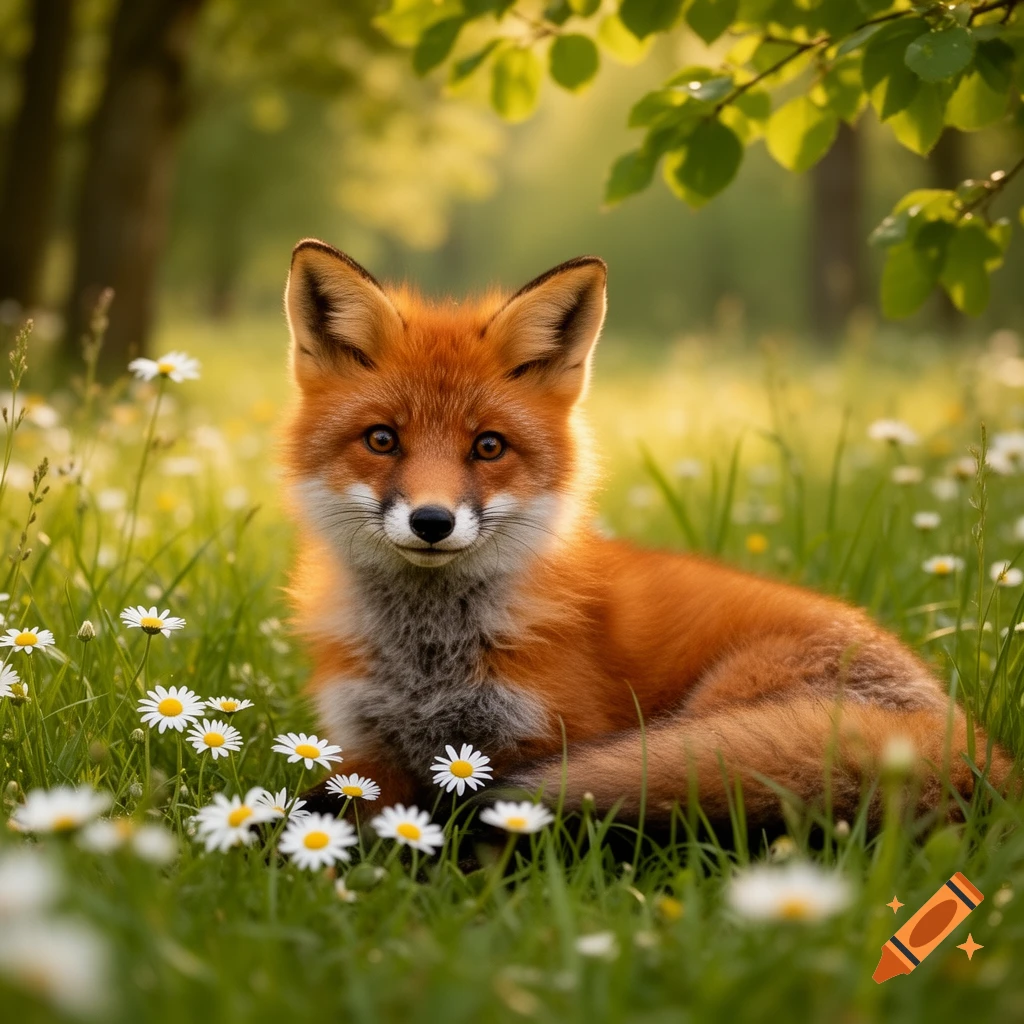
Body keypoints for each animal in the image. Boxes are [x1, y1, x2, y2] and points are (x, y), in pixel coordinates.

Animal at [282, 238, 1013, 833]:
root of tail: (978, 747)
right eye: (382, 439)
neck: (426, 664)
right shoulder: (364, 754)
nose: (432, 522)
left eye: (488, 446)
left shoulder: (538, 741)